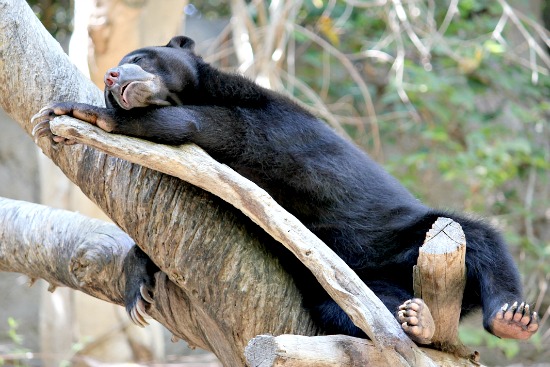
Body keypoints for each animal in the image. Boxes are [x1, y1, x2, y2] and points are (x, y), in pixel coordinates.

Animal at [31, 36, 540, 344]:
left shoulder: (267, 125)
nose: (112, 77)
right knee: (353, 311)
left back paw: (511, 318)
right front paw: (139, 286)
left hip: (409, 234)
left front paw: (77, 113)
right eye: (109, 78)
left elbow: (195, 126)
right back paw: (414, 320)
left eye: (137, 59)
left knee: (482, 240)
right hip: (354, 285)